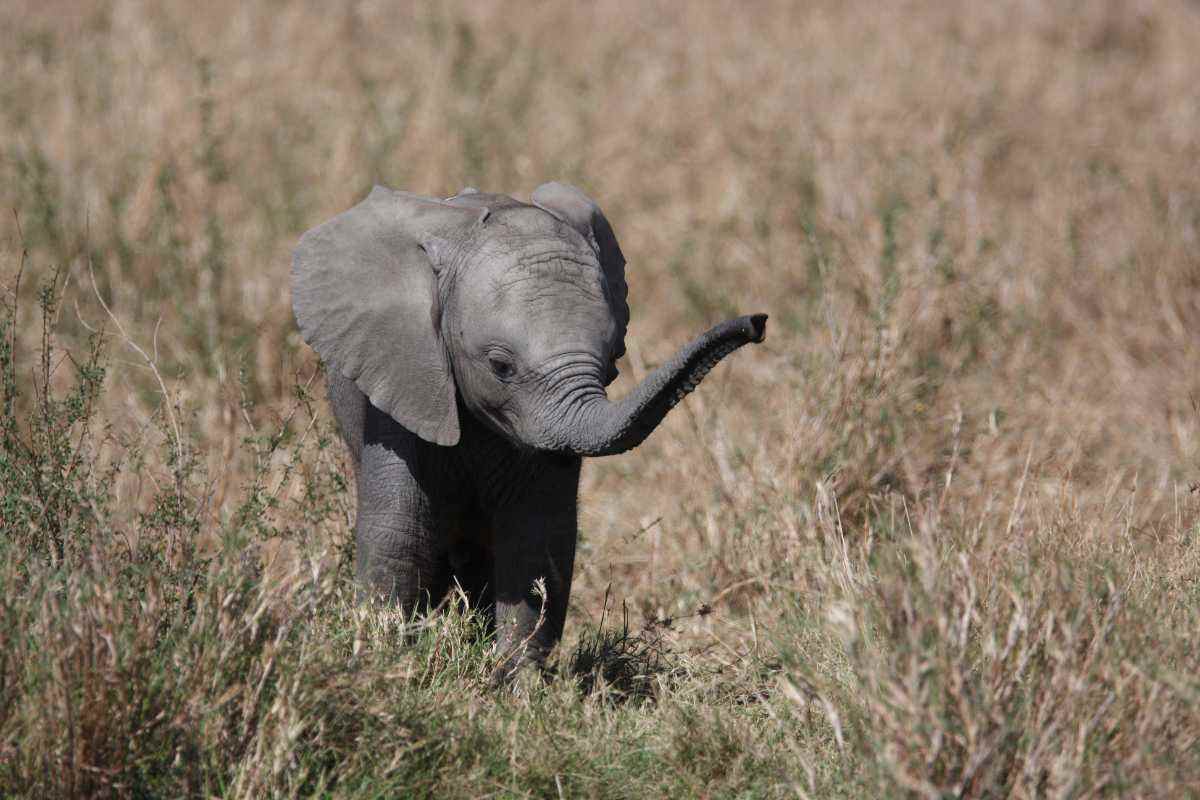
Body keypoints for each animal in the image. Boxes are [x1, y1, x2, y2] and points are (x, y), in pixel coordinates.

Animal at [292, 182, 766, 679]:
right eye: (500, 366)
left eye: (613, 360)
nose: (758, 322)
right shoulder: (405, 374)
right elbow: (400, 531)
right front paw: (386, 665)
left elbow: (536, 539)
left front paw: (517, 685)